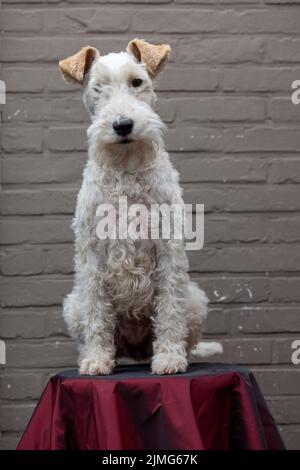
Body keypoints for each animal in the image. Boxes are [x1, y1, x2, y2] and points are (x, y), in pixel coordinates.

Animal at [59, 38, 223, 376]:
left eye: (137, 82)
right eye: (98, 88)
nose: (123, 125)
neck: (126, 168)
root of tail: (134, 351)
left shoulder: (168, 248)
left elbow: (170, 311)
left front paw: (170, 358)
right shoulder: (92, 254)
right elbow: (97, 316)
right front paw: (96, 361)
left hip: (195, 300)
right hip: (73, 305)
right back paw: (95, 356)